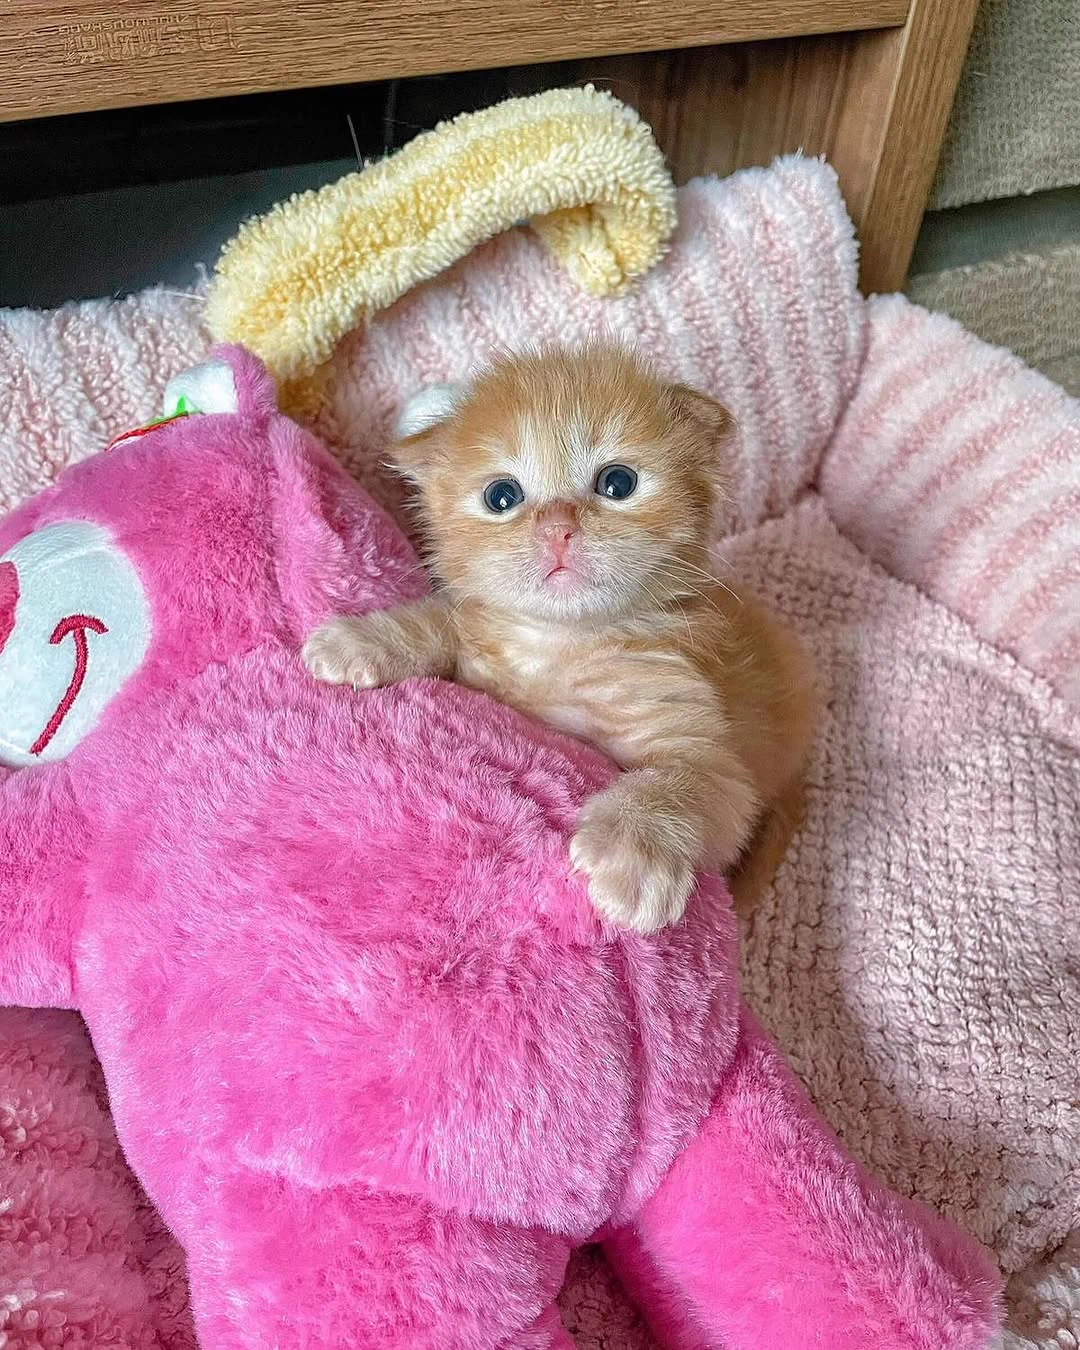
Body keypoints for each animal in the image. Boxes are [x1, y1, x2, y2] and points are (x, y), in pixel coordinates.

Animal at [304, 345, 813, 932]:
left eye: (617, 484)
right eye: (502, 496)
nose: (557, 528)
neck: (559, 647)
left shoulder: (715, 757)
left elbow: (683, 780)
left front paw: (632, 848)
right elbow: (441, 621)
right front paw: (360, 640)